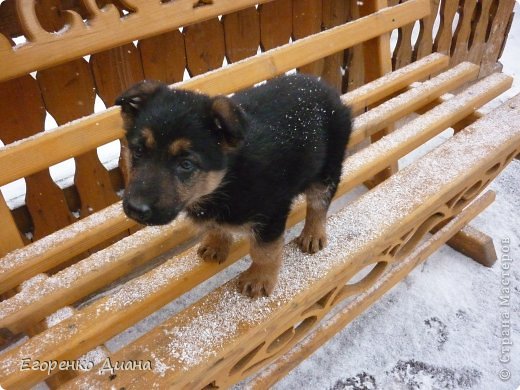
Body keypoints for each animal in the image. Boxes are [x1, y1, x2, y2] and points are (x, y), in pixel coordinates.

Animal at [116, 74, 352, 298]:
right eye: (138, 151)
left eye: (186, 164)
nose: (136, 209)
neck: (228, 177)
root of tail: (325, 87)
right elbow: (216, 226)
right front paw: (216, 243)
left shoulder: (272, 212)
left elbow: (264, 250)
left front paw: (259, 279)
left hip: (327, 170)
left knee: (319, 204)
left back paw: (313, 234)